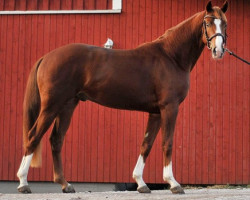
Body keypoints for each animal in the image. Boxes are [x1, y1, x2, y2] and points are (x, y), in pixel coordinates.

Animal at [17, 0, 229, 195]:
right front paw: (173, 183)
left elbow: (146, 144)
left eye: (225, 24)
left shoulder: (155, 112)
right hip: (51, 106)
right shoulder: (170, 107)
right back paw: (23, 183)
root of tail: (47, 57)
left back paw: (65, 184)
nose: (218, 50)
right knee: (33, 136)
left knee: (56, 139)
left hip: (67, 106)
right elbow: (167, 143)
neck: (171, 57)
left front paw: (141, 183)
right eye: (208, 22)